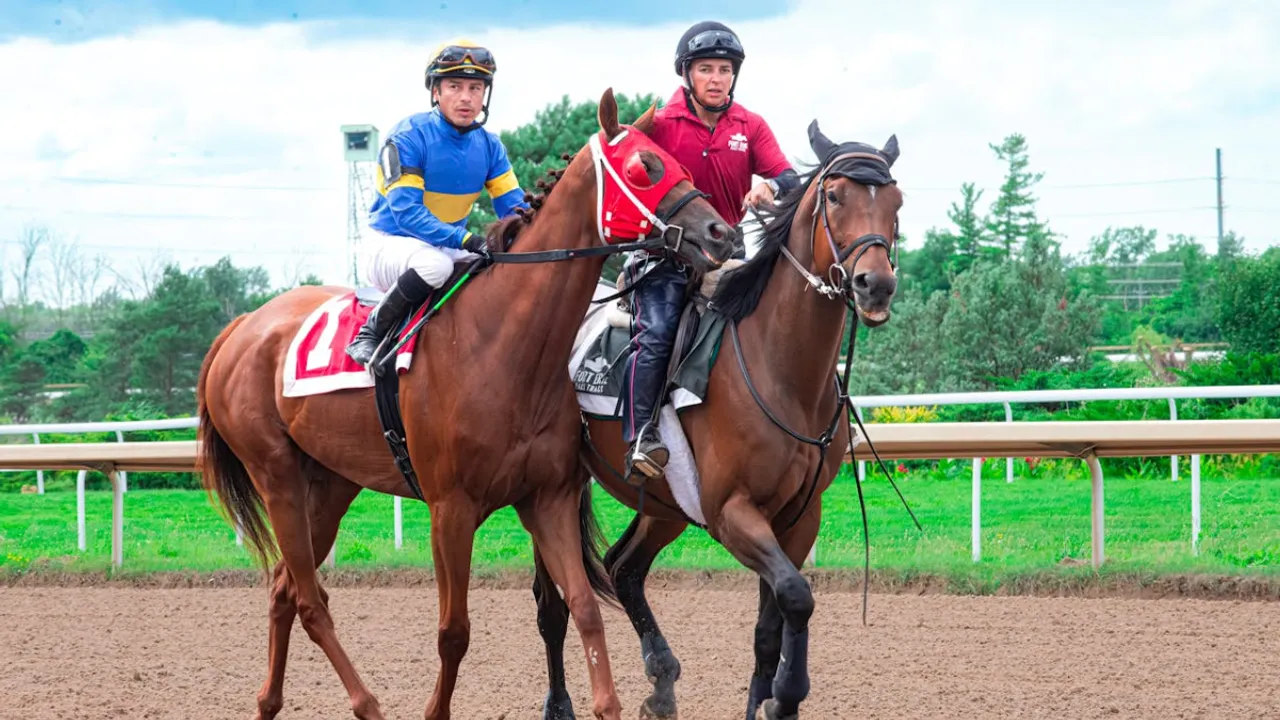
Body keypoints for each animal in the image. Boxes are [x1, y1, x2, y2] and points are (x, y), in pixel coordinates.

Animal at [194, 88, 737, 720]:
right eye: (644, 168)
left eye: (678, 164)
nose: (721, 233)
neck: (503, 347)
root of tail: (240, 327)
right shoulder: (449, 509)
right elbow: (454, 631)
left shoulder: (547, 496)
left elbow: (584, 608)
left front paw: (608, 704)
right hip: (276, 474)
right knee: (309, 600)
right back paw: (367, 703)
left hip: (329, 482)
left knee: (285, 587)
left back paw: (269, 701)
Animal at [535, 121, 904, 720]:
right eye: (834, 196)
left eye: (896, 202)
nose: (876, 284)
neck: (779, 369)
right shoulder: (732, 511)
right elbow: (797, 595)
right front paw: (785, 696)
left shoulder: (798, 517)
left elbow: (772, 623)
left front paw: (766, 702)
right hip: (553, 490)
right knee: (554, 604)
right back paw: (561, 703)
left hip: (664, 504)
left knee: (623, 567)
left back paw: (662, 681)